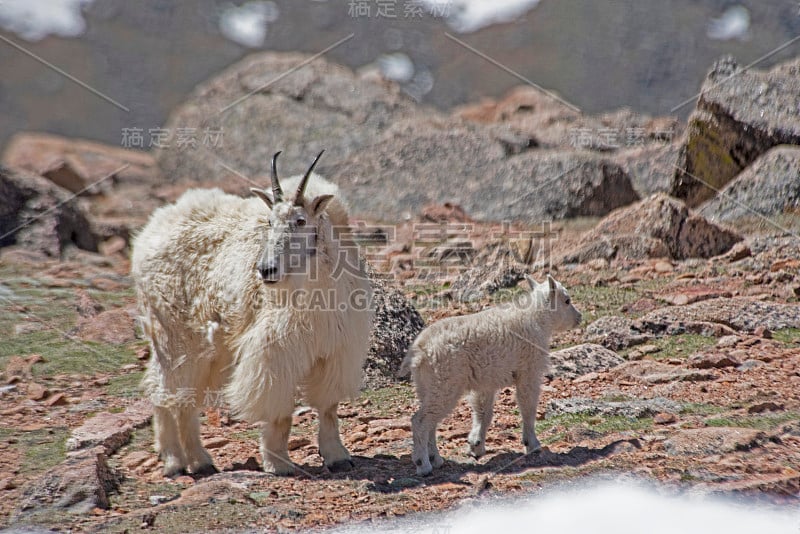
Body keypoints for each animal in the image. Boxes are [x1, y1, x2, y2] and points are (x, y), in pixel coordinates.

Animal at [131, 151, 372, 478]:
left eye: (300, 220)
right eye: (269, 221)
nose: (266, 269)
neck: (316, 288)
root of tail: (150, 231)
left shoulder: (335, 350)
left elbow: (328, 407)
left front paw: (338, 457)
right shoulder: (274, 350)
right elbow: (279, 410)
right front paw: (278, 463)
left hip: (207, 347)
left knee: (182, 397)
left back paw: (196, 461)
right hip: (173, 333)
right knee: (166, 390)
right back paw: (176, 461)